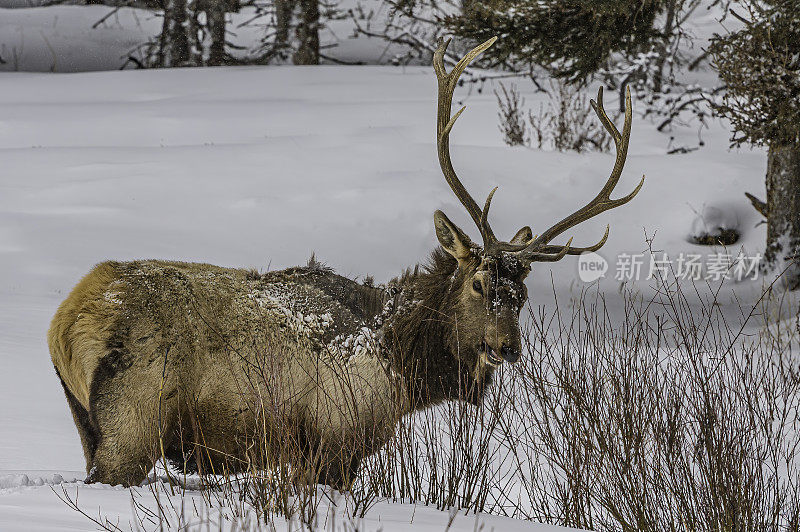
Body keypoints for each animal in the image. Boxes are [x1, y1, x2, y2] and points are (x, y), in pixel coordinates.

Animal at [47, 35, 644, 488]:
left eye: (521, 294)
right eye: (477, 283)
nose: (506, 347)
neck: (402, 367)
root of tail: (67, 321)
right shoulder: (334, 441)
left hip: (85, 422)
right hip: (133, 423)